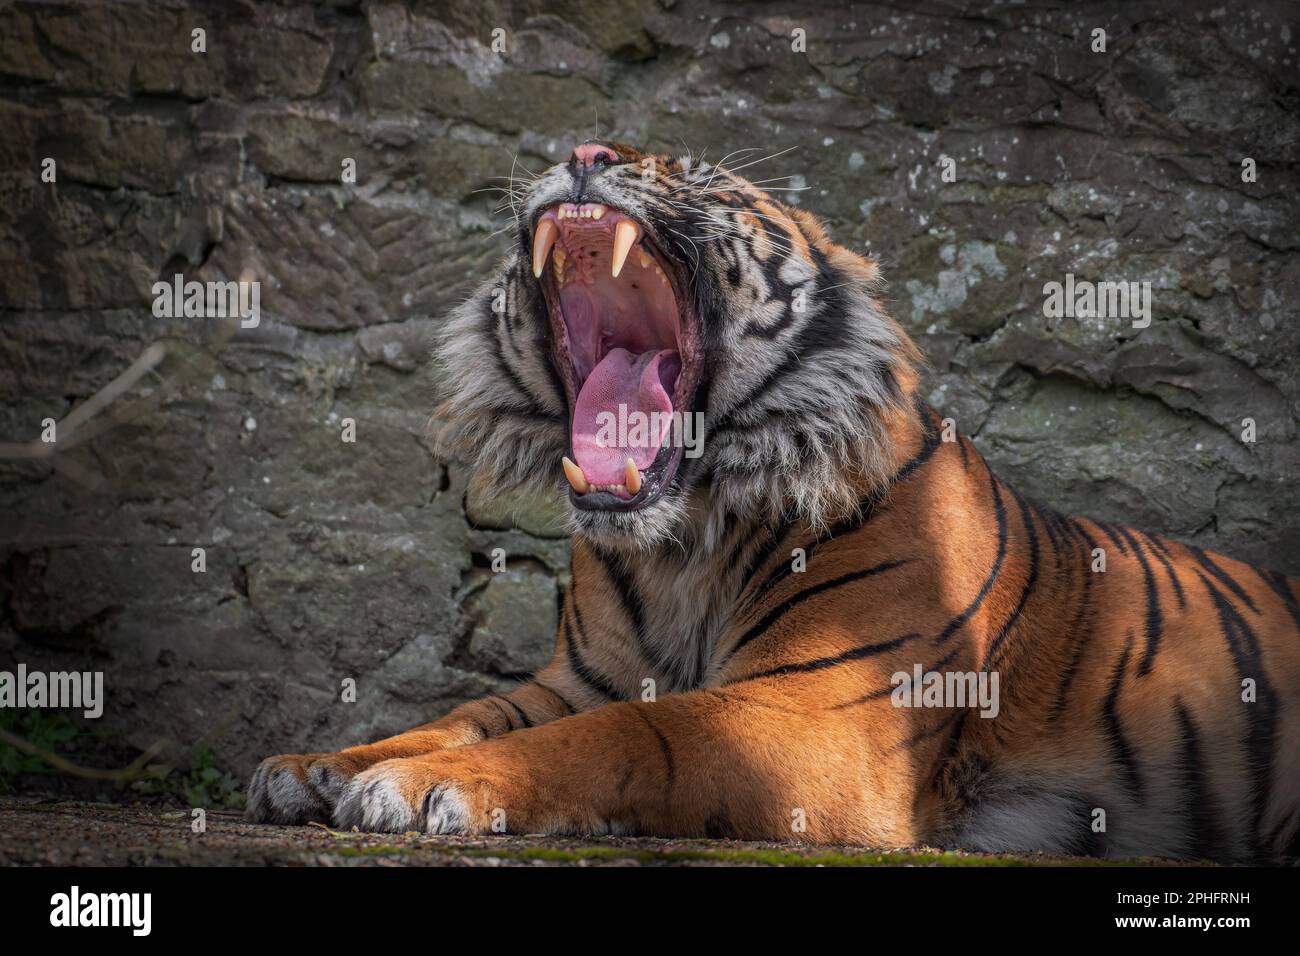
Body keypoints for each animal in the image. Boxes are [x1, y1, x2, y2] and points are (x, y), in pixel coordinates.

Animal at [245, 138, 1300, 863]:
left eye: (699, 177)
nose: (585, 155)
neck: (679, 547)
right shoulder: (574, 681)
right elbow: (466, 711)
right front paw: (324, 765)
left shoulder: (827, 713)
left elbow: (629, 734)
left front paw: (431, 787)